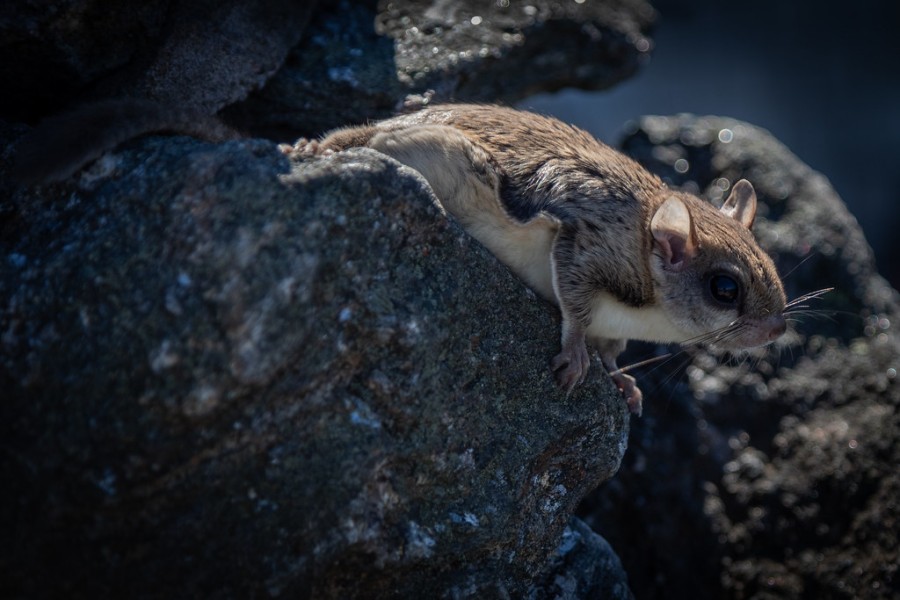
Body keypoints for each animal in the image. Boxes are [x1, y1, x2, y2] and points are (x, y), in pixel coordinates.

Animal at [296, 104, 788, 412]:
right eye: (725, 288)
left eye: (772, 265)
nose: (778, 329)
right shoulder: (585, 243)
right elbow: (575, 305)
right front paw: (575, 355)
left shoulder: (614, 325)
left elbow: (611, 351)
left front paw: (622, 382)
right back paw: (313, 149)